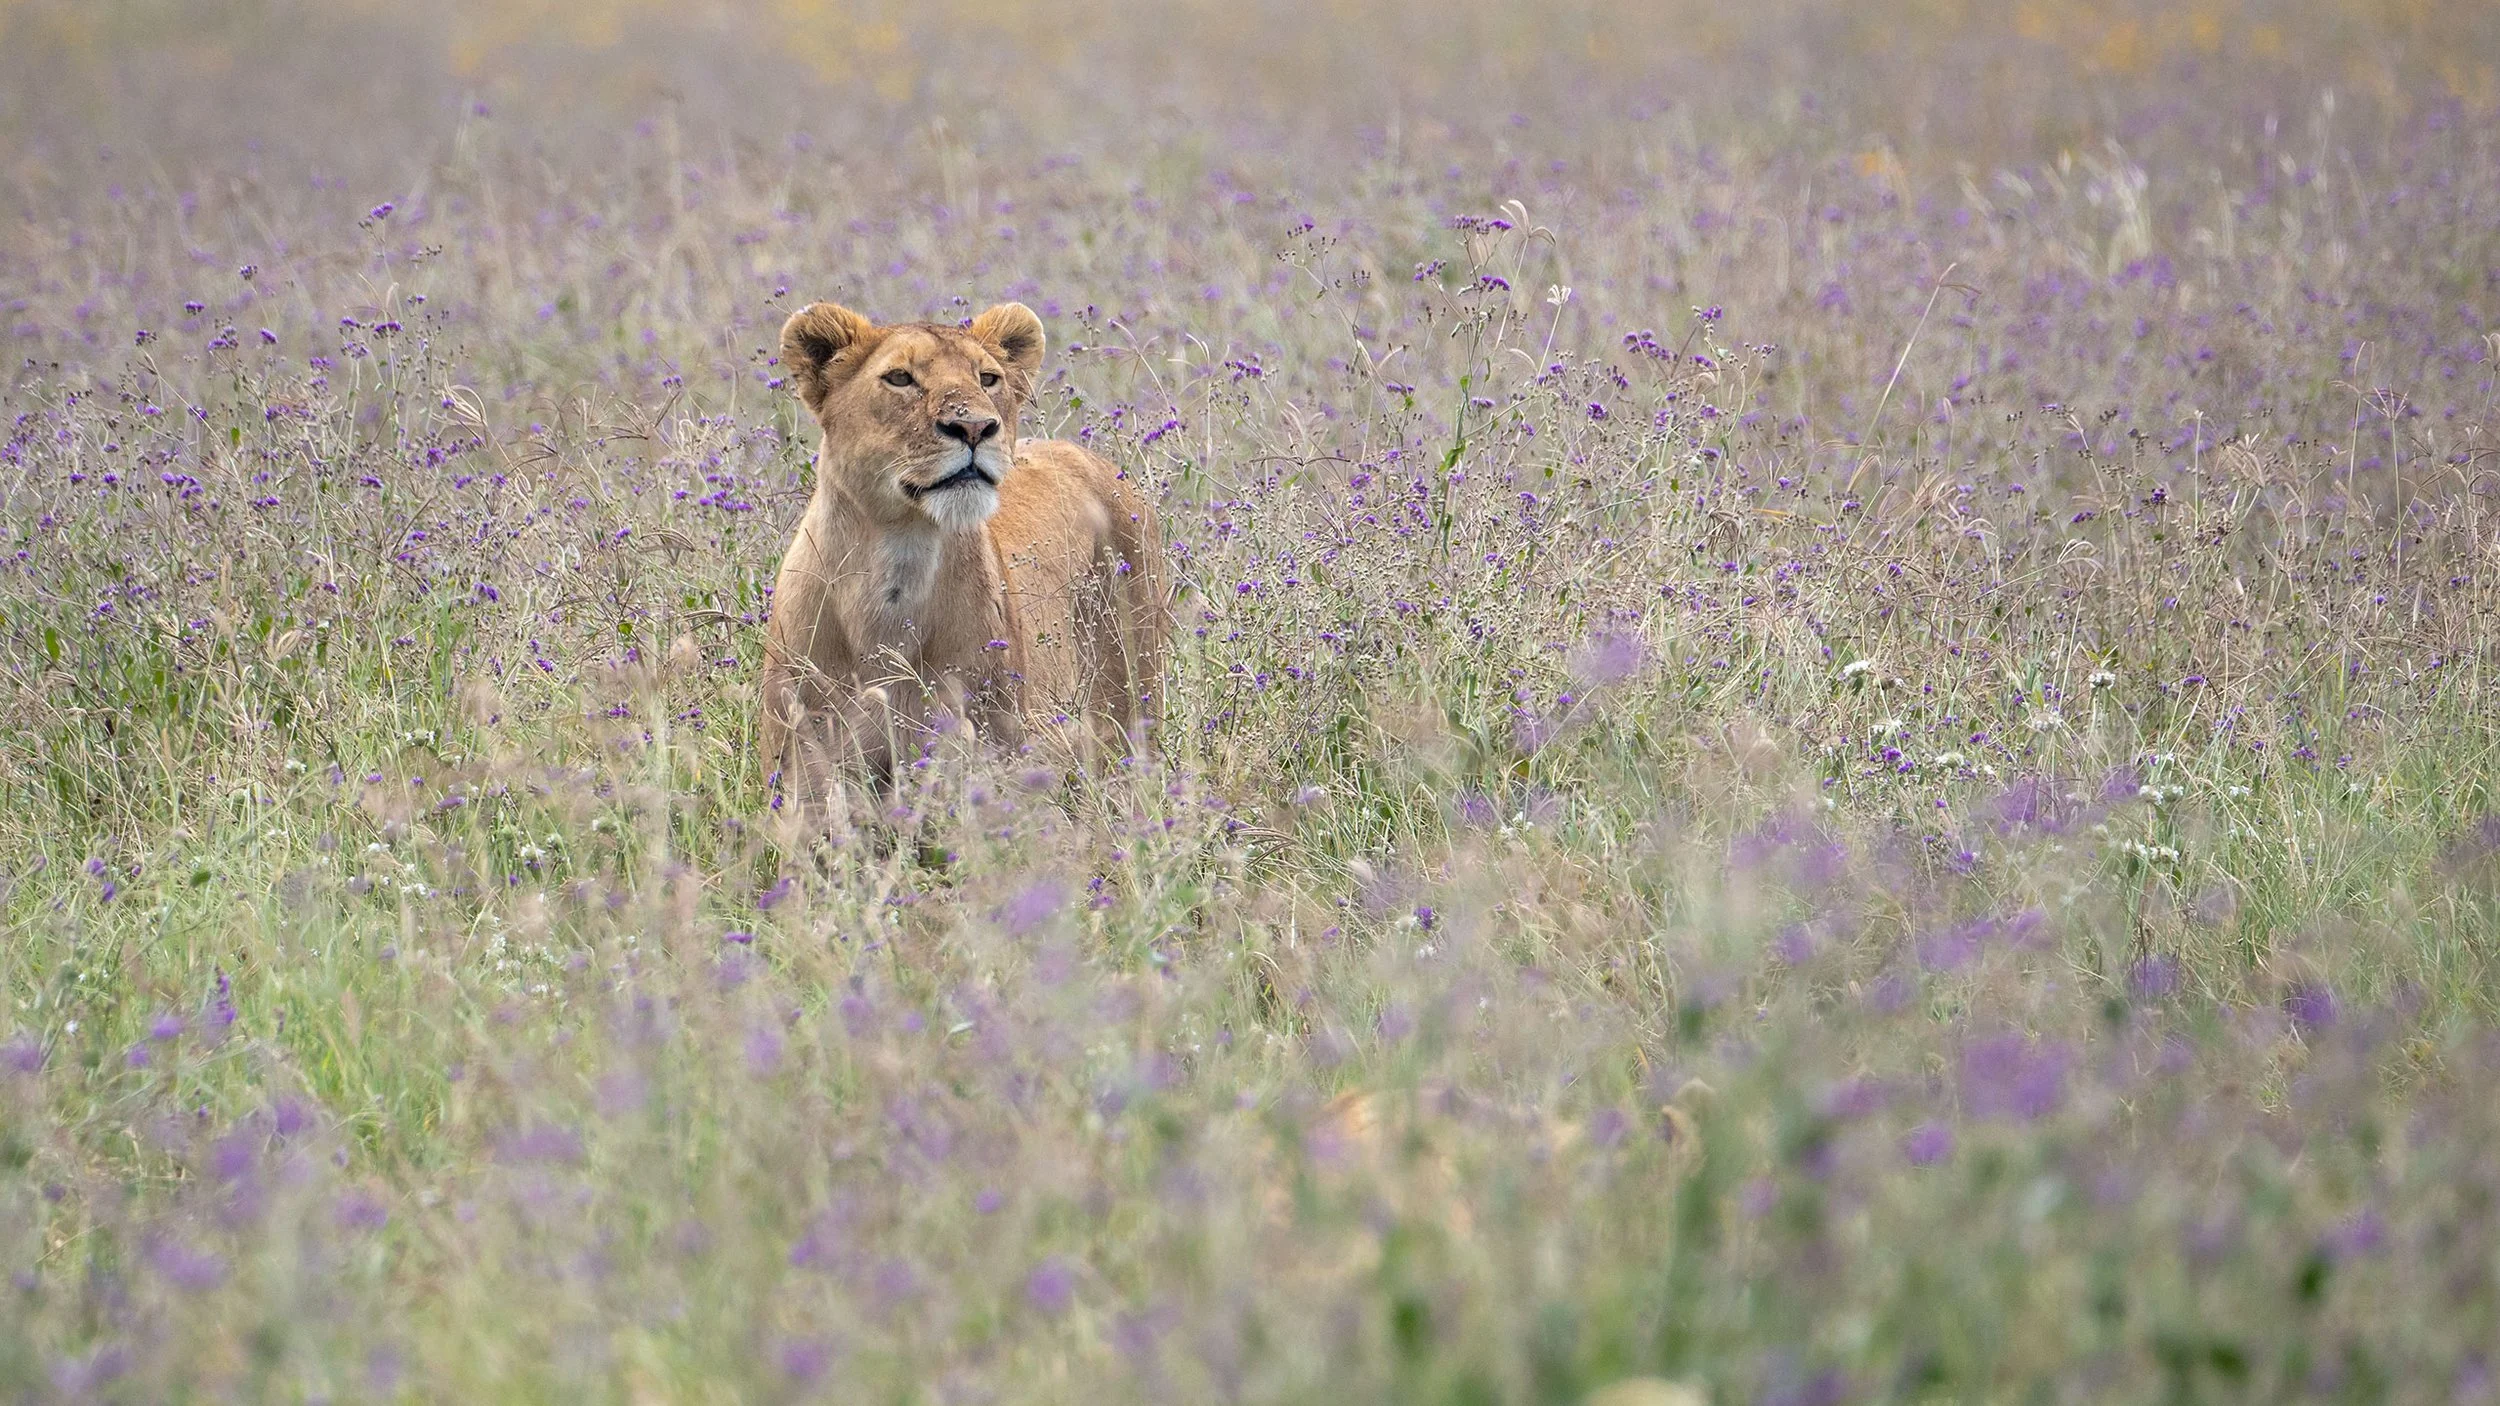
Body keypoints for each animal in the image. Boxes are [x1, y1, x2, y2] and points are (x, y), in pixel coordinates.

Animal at [759, 299, 1168, 814]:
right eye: (900, 378)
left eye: (987, 378)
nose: (974, 427)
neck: (900, 558)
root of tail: (1083, 454)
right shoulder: (804, 776)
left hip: (1130, 701)